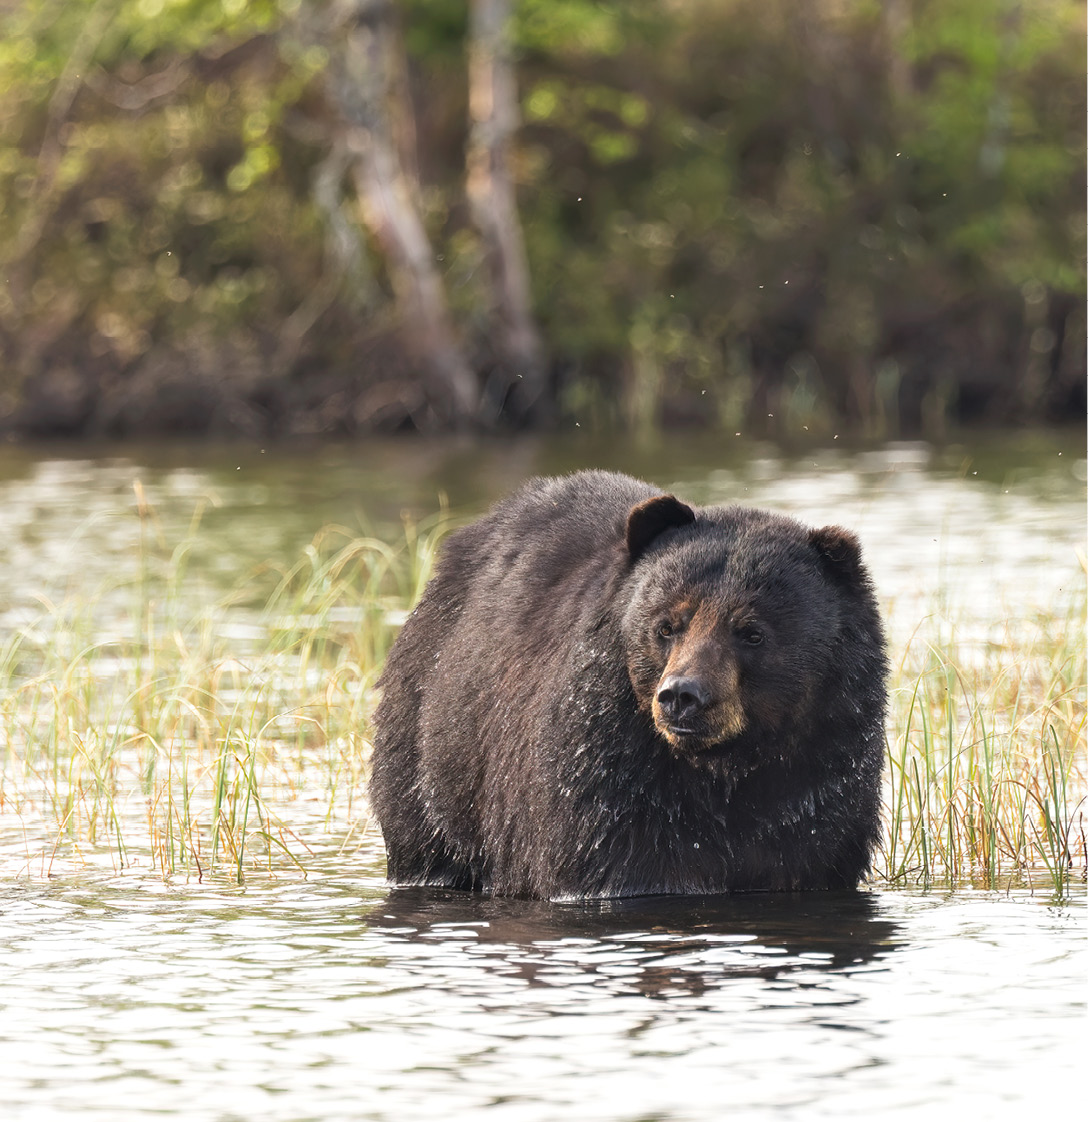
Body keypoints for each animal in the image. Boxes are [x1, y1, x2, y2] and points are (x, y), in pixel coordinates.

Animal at [369, 470, 887, 900]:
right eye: (667, 624)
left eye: (752, 631)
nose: (682, 696)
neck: (721, 771)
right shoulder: (606, 780)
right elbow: (605, 862)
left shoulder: (819, 779)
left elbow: (808, 851)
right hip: (433, 743)